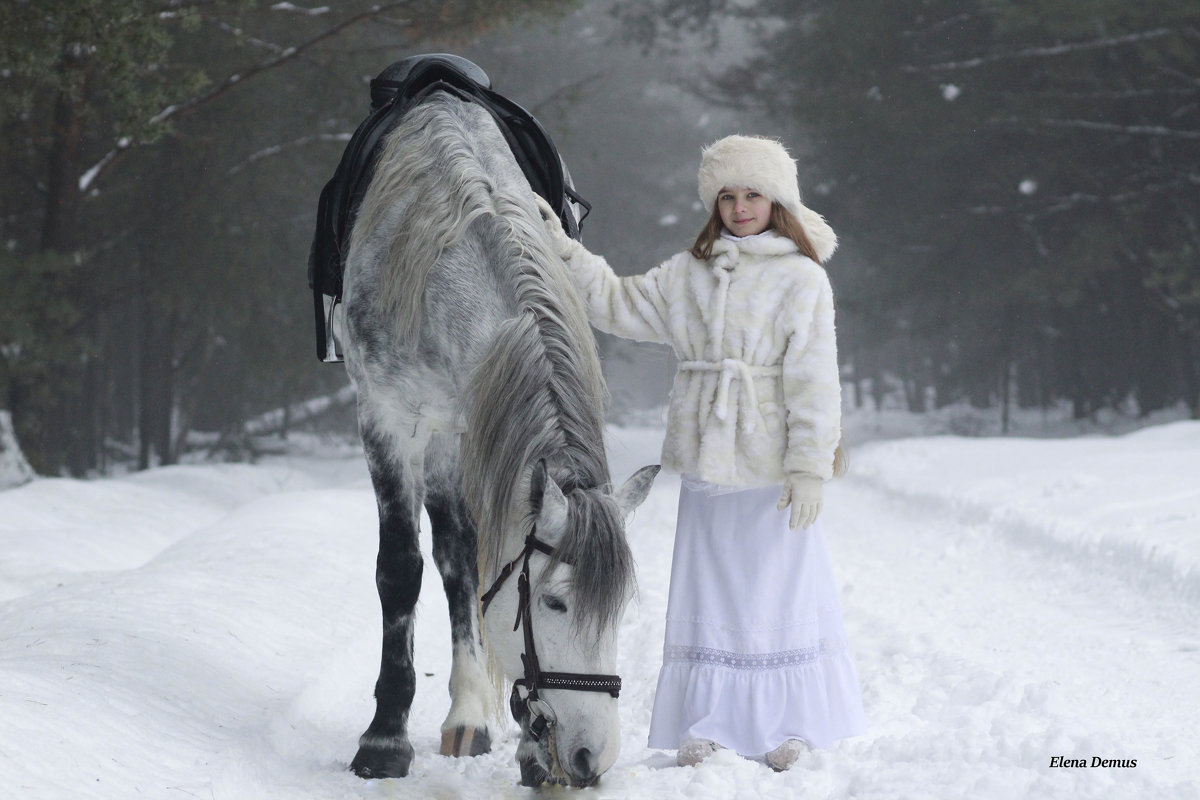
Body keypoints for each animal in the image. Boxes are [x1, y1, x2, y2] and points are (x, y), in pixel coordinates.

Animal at [340, 89, 657, 786]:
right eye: (556, 604)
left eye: (619, 610)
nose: (593, 759)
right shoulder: (388, 422)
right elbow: (400, 570)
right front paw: (383, 741)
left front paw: (524, 742)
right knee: (453, 561)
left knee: (463, 559)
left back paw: (470, 717)